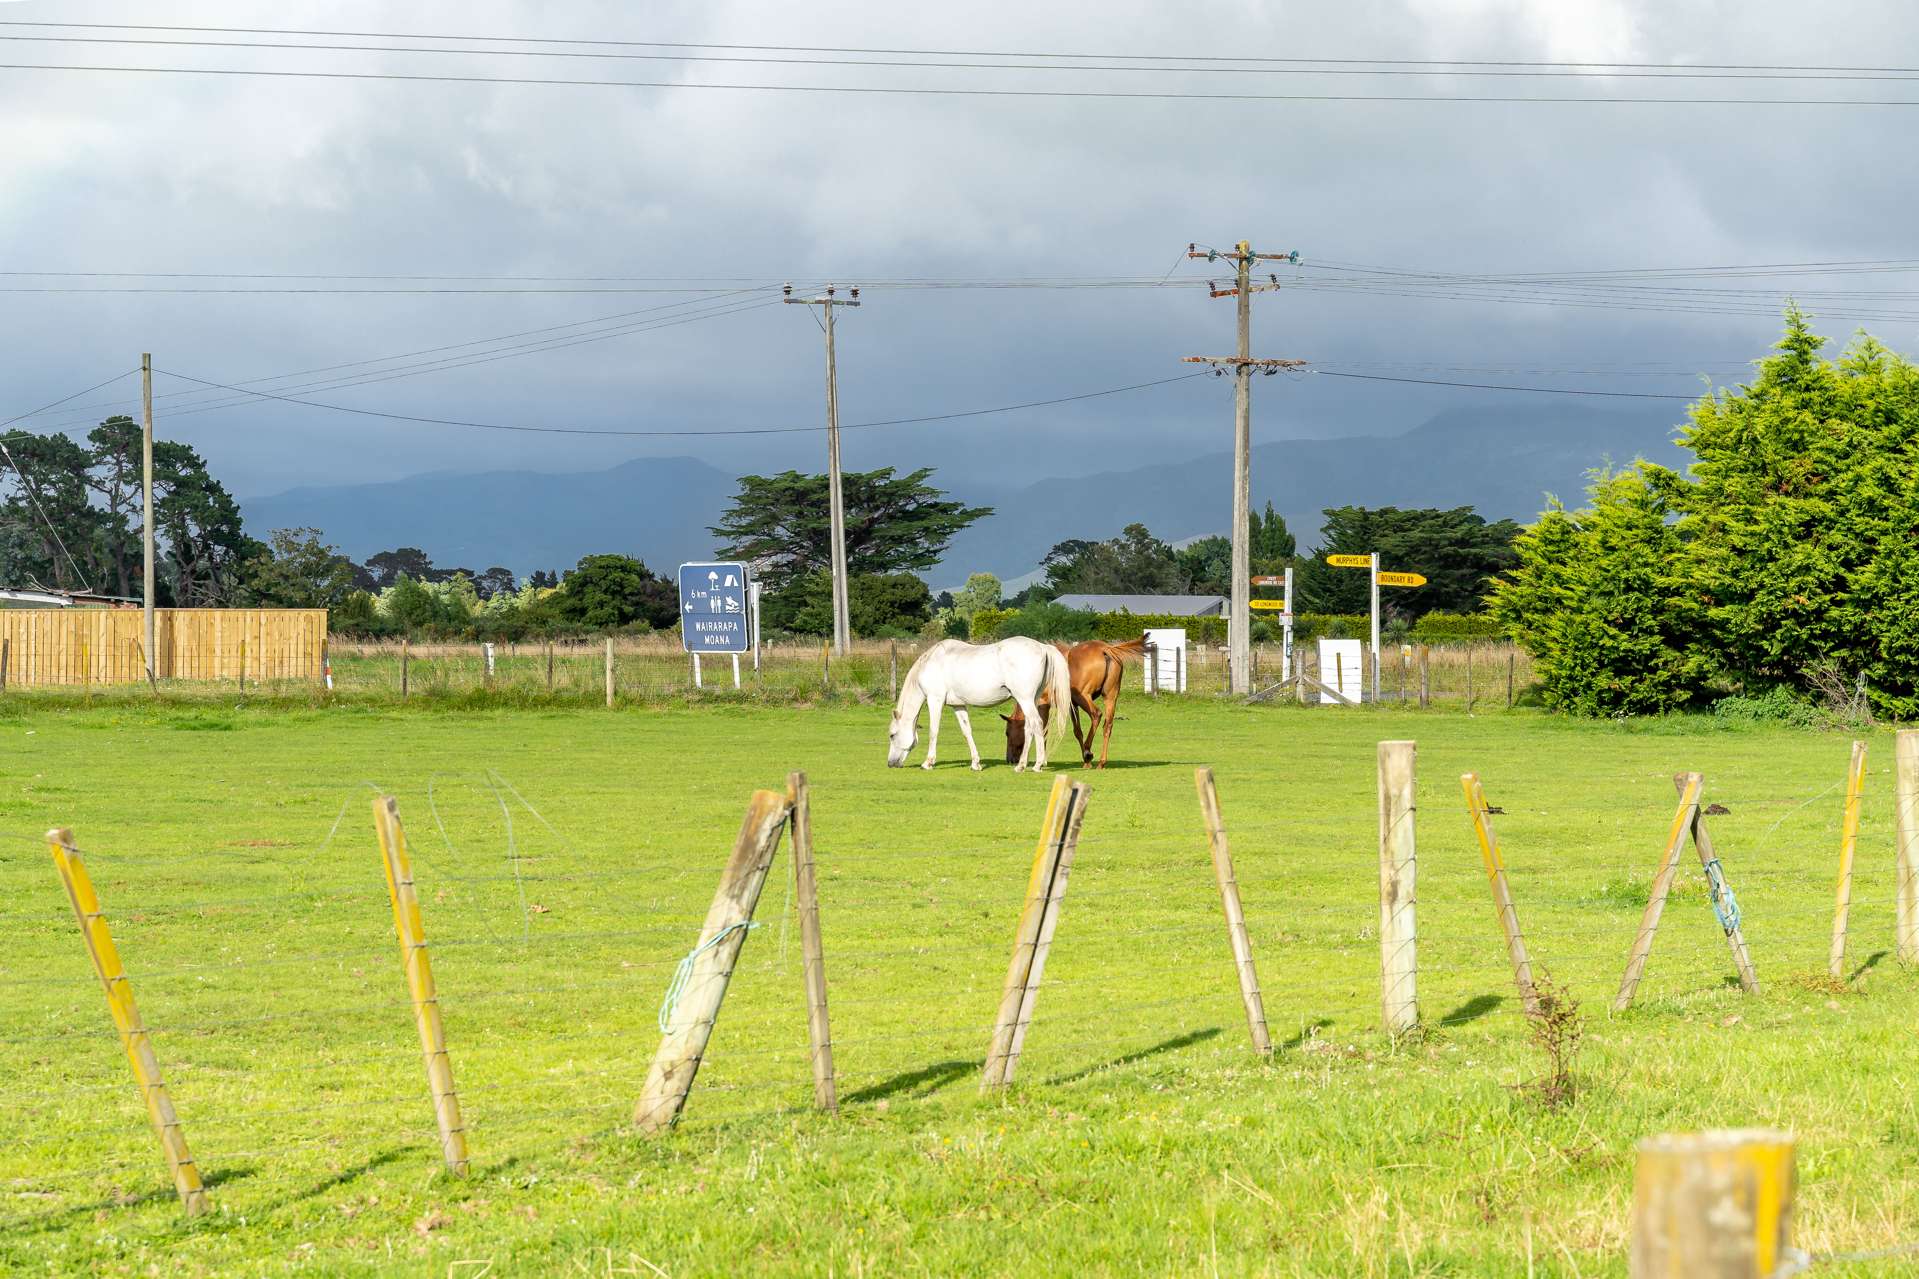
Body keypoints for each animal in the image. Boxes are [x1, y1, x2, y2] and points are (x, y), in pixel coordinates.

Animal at [886, 637, 1074, 768]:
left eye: (892, 735)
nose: (890, 763)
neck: (932, 661)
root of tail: (1043, 647)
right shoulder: (958, 705)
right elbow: (967, 731)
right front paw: (976, 763)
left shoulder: (935, 700)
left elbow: (934, 731)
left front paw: (928, 762)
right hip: (1031, 701)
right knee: (1029, 727)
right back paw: (1023, 764)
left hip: (1025, 699)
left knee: (1037, 724)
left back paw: (1035, 765)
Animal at [997, 637, 1143, 768]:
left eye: (1007, 733)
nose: (1009, 760)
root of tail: (1105, 649)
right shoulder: (1072, 705)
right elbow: (1078, 731)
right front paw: (1086, 762)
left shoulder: (1044, 704)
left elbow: (1043, 730)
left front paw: (1042, 760)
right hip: (1110, 698)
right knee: (1107, 726)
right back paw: (1100, 761)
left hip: (1084, 697)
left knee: (1096, 715)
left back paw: (1088, 751)